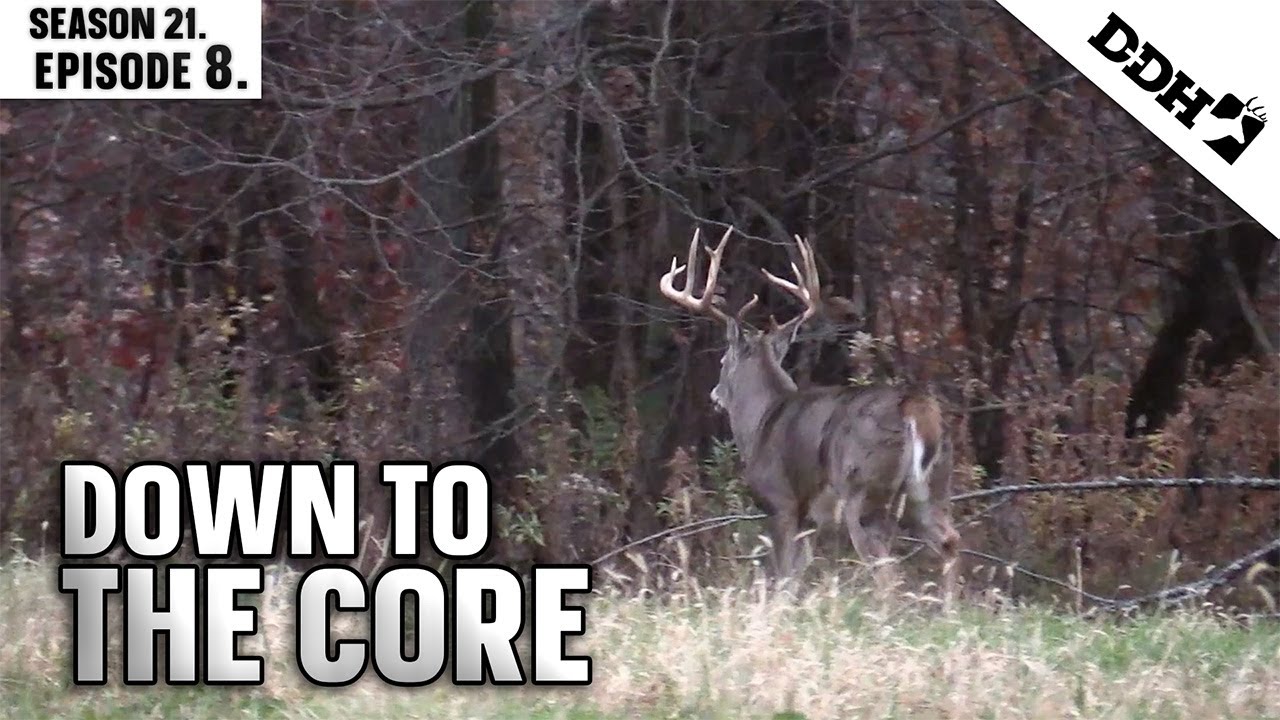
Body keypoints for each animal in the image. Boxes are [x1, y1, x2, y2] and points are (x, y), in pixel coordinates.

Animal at [658, 224, 961, 602]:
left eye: (724, 361)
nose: (714, 393)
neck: (761, 421)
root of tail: (914, 406)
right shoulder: (810, 519)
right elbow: (795, 576)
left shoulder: (782, 501)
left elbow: (783, 575)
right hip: (934, 486)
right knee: (949, 542)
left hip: (864, 488)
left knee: (887, 571)